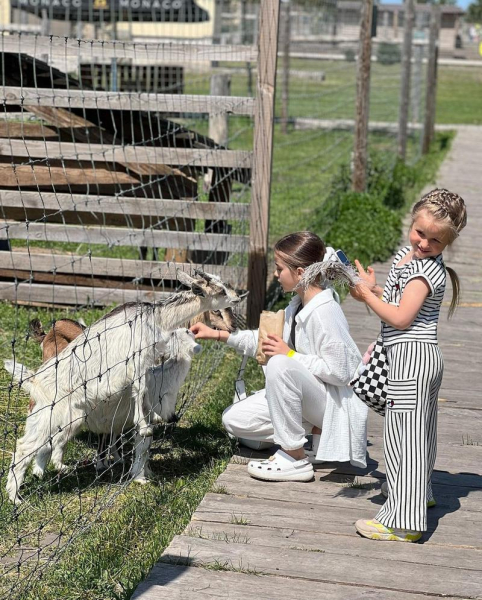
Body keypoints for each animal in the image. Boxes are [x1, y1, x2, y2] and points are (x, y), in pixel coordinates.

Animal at [3, 270, 245, 502]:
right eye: (220, 291)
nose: (238, 297)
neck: (157, 319)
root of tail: (34, 381)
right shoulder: (137, 361)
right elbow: (140, 391)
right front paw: (144, 428)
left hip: (49, 419)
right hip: (55, 417)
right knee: (23, 448)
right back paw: (15, 498)